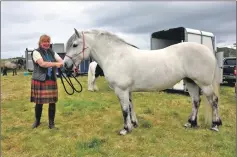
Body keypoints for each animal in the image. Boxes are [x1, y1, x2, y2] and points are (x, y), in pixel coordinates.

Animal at [63, 28, 222, 135]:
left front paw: (125, 129)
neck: (116, 56)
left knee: (213, 100)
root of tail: (208, 51)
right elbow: (130, 106)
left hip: (204, 84)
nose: (65, 65)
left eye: (75, 45)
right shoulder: (127, 90)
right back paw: (191, 123)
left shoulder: (121, 90)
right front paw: (133, 124)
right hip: (191, 82)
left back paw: (215, 125)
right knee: (196, 101)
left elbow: (124, 110)